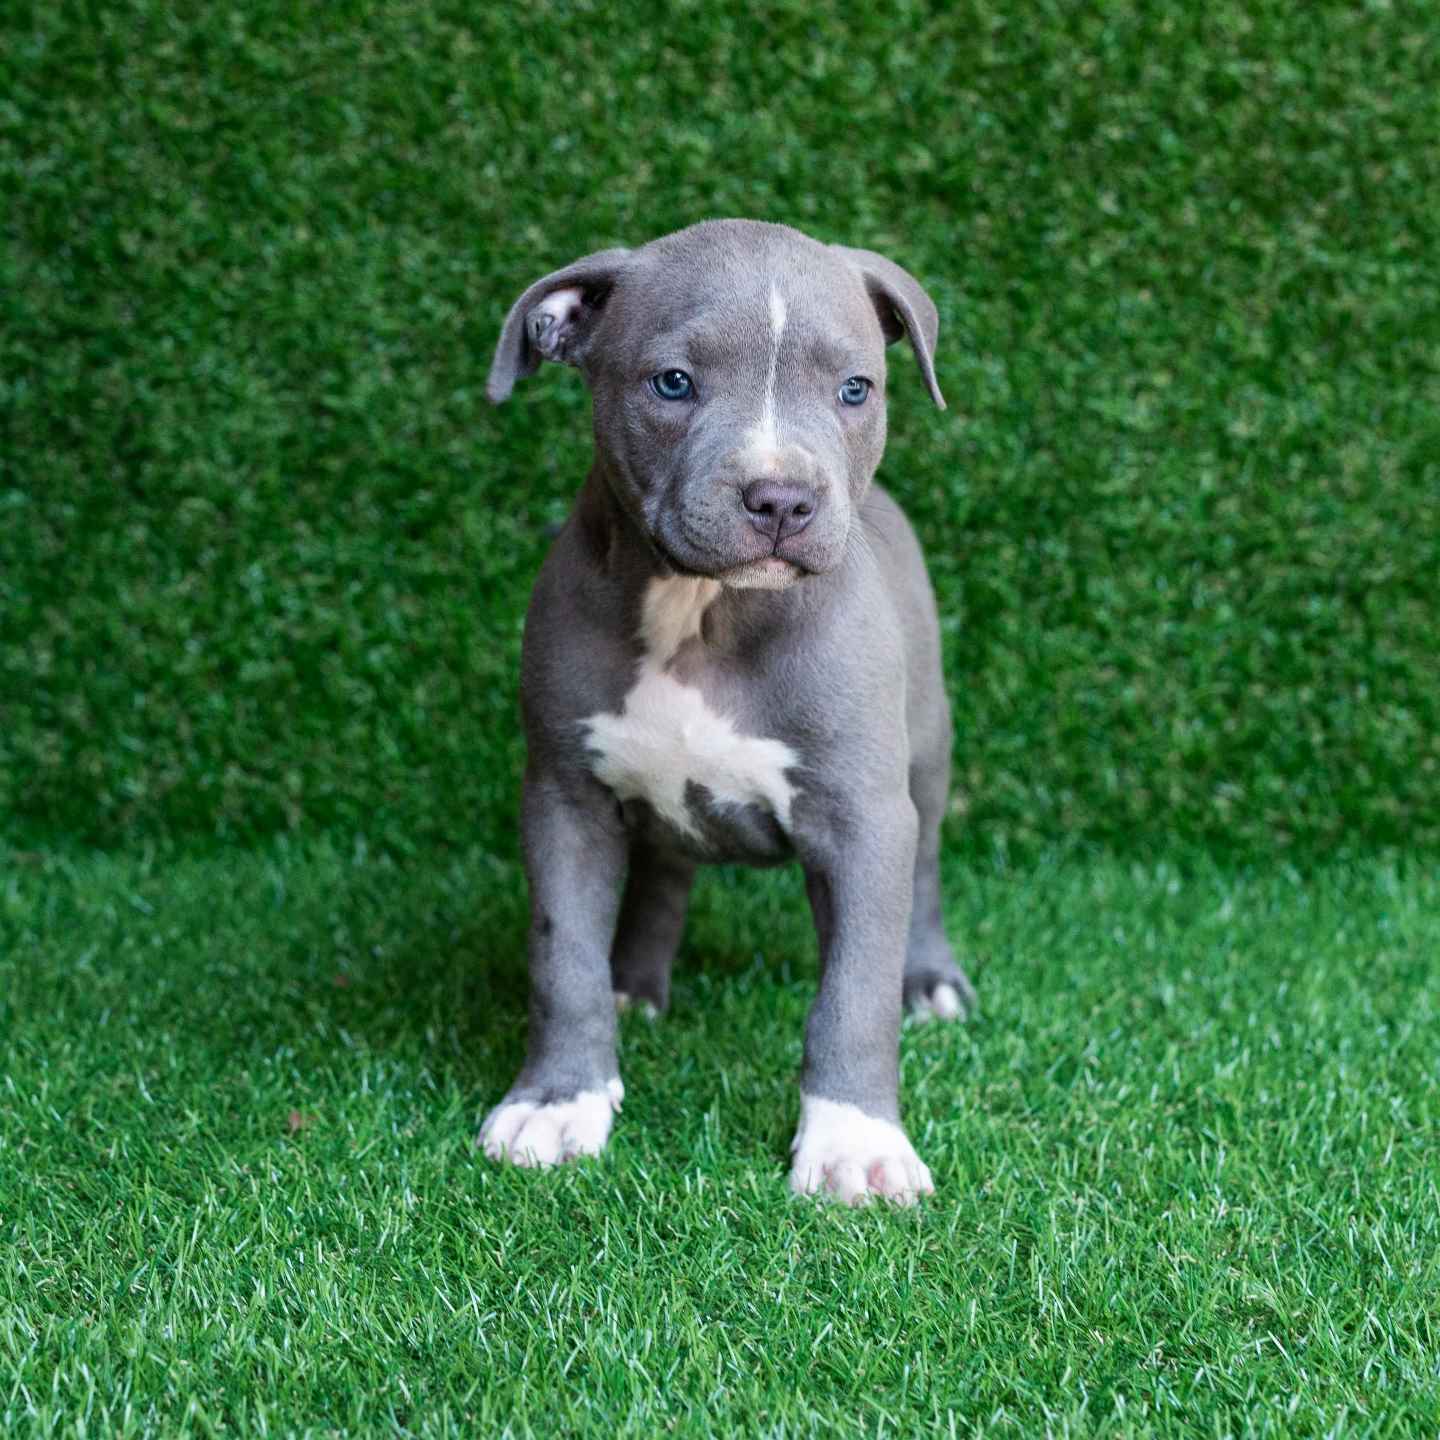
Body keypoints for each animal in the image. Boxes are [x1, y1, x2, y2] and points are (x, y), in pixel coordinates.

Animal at [478, 216, 973, 1203]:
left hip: (929, 753)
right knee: (663, 875)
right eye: (673, 382)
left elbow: (853, 992)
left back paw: (930, 978)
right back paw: (636, 981)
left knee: (928, 867)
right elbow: (561, 959)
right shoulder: (562, 798)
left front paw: (853, 1141)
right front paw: (558, 1101)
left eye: (856, 389)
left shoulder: (865, 819)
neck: (704, 610)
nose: (782, 498)